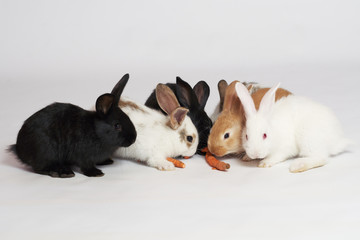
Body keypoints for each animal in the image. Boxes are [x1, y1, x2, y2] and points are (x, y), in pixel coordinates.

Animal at [9, 74, 137, 177]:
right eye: (117, 126)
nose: (133, 139)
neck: (96, 131)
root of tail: (19, 149)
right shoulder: (83, 155)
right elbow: (86, 166)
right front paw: (96, 173)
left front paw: (106, 161)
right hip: (46, 151)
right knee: (39, 168)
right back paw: (62, 172)